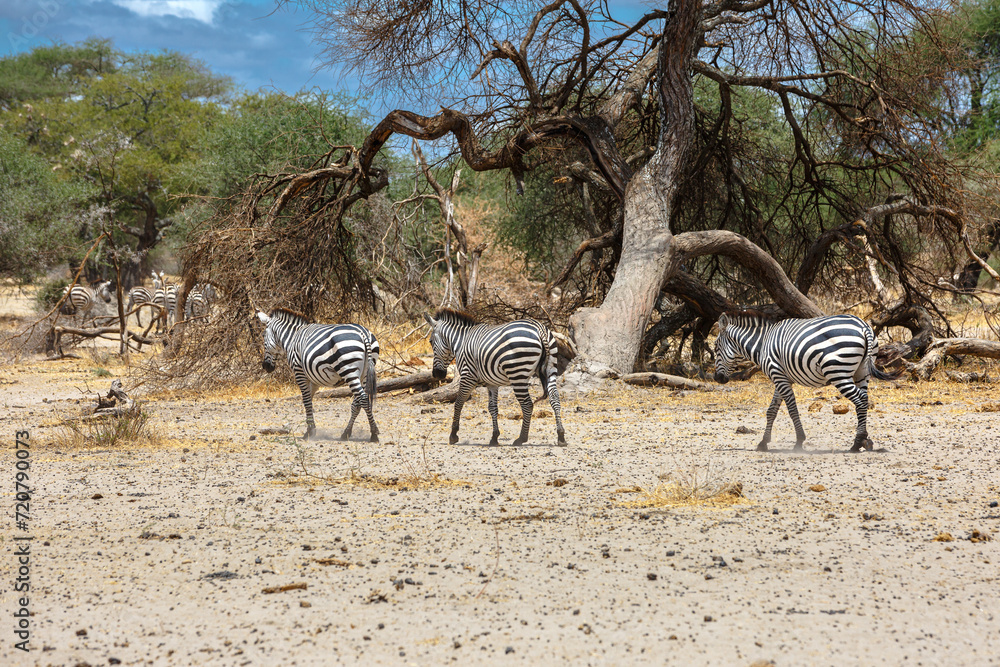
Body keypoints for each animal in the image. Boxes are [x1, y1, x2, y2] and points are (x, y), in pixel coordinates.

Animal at [257, 308, 379, 441]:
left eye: (263, 336)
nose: (266, 366)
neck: (292, 338)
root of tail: (364, 333)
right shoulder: (314, 379)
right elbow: (309, 401)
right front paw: (310, 428)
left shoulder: (299, 372)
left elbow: (306, 400)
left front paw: (310, 431)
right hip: (365, 373)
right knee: (357, 402)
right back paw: (346, 433)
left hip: (349, 370)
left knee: (363, 398)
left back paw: (374, 433)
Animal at [422, 309, 567, 447]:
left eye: (430, 342)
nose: (437, 374)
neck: (461, 342)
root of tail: (539, 328)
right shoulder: (492, 382)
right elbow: (492, 408)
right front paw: (494, 437)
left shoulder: (467, 376)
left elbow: (458, 403)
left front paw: (453, 435)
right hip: (551, 368)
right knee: (554, 398)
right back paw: (561, 437)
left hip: (517, 374)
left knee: (527, 405)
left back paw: (521, 438)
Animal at [713, 311, 902, 452]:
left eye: (715, 348)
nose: (717, 379)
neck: (762, 344)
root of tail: (864, 326)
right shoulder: (781, 377)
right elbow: (772, 410)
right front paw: (763, 442)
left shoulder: (778, 375)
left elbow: (792, 409)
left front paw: (799, 441)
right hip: (862, 372)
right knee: (864, 398)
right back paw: (865, 440)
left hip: (837, 372)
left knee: (860, 401)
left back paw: (857, 443)